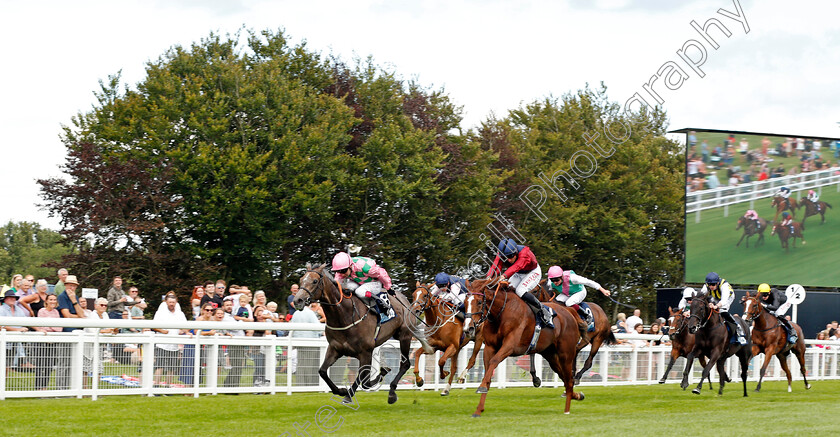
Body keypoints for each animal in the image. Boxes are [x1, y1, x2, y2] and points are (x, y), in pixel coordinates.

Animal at [294, 260, 434, 404]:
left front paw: (349, 393)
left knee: (405, 364)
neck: (345, 315)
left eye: (315, 281)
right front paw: (342, 390)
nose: (297, 300)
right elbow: (322, 371)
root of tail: (407, 302)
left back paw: (393, 391)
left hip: (405, 336)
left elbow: (364, 380)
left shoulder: (366, 351)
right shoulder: (335, 348)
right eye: (301, 280)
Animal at [466, 276, 584, 416]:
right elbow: (488, 372)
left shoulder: (509, 346)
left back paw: (567, 410)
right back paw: (577, 396)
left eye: (479, 302)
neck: (502, 312)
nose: (469, 328)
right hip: (550, 355)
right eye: (465, 302)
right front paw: (479, 409)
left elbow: (494, 361)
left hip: (566, 354)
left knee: (569, 380)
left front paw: (482, 387)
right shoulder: (490, 347)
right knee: (565, 378)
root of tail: (569, 312)